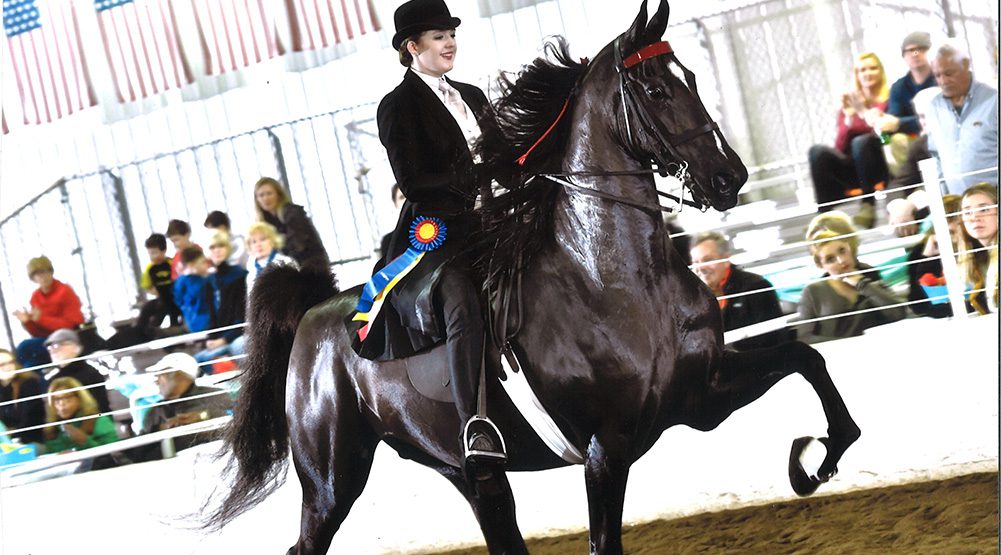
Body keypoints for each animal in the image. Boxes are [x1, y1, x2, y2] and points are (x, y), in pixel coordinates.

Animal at [205, 2, 860, 548]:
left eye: (692, 79)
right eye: (654, 88)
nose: (729, 179)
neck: (613, 281)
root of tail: (313, 316)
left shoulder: (703, 395)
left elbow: (807, 357)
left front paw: (818, 458)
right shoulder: (606, 448)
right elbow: (604, 542)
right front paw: (815, 456)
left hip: (467, 474)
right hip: (332, 477)